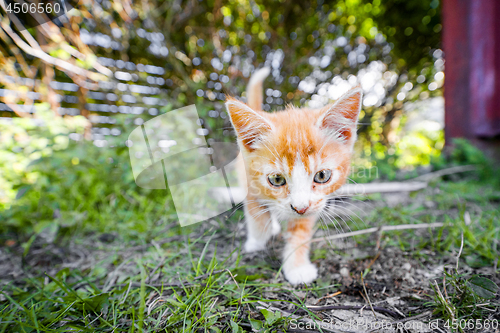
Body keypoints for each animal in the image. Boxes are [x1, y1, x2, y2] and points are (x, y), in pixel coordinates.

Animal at [225, 68, 362, 286]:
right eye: (276, 179)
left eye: (322, 176)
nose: (300, 208)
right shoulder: (250, 184)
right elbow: (257, 216)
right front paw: (257, 241)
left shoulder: (313, 204)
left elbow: (300, 231)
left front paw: (297, 267)